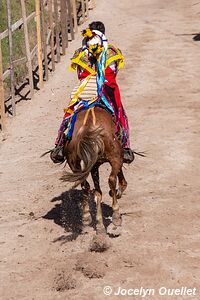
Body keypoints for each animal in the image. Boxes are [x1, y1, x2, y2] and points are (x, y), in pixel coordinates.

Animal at [61, 106, 128, 234]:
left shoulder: (94, 166)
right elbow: (121, 179)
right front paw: (118, 191)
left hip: (75, 162)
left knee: (87, 186)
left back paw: (91, 220)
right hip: (115, 156)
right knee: (111, 179)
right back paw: (116, 216)